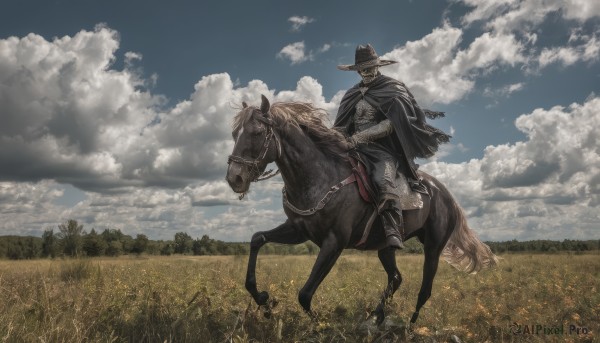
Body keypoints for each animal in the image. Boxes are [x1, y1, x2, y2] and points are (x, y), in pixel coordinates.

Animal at [225, 96, 496, 326]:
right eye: (234, 133)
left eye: (257, 133)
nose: (234, 179)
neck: (320, 176)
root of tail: (447, 196)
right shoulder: (297, 231)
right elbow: (257, 239)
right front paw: (263, 300)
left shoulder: (334, 242)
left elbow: (304, 294)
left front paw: (318, 325)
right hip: (386, 247)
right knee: (396, 278)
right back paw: (376, 316)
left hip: (433, 247)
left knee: (424, 290)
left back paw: (409, 326)